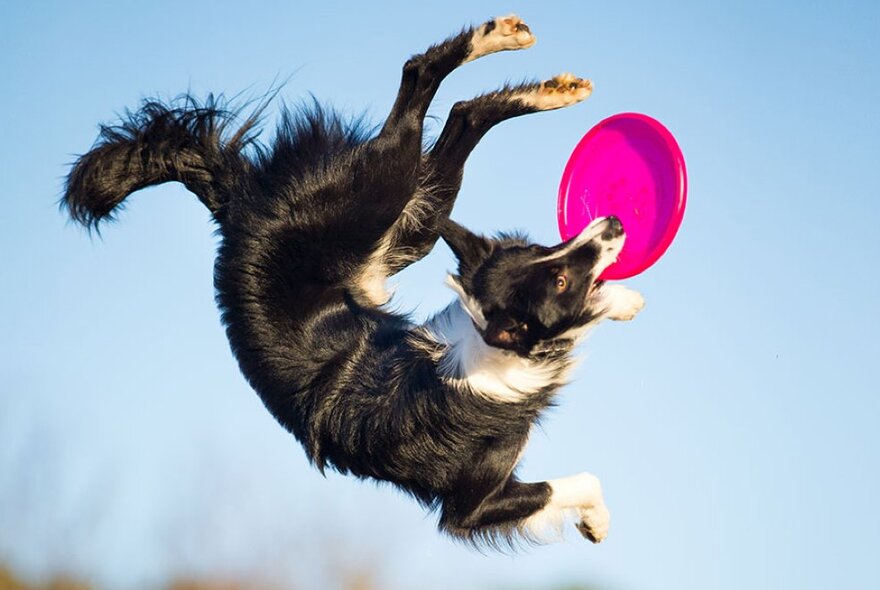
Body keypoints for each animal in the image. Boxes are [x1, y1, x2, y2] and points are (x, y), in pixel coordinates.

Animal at [62, 15, 644, 552]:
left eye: (543, 251)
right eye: (559, 278)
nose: (614, 223)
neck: (491, 357)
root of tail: (234, 207)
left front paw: (625, 299)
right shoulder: (471, 506)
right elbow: (576, 482)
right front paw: (598, 522)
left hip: (411, 226)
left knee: (461, 112)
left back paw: (542, 78)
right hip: (378, 194)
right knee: (417, 81)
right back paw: (501, 48)